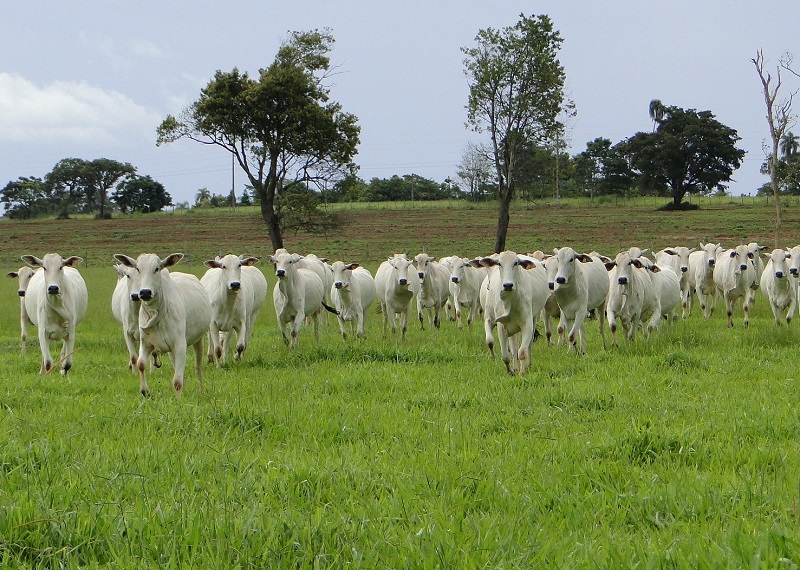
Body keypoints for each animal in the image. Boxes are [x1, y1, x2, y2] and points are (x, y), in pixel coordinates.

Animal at [115, 253, 212, 394]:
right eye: (138, 269)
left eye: (156, 269)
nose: (145, 292)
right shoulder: (145, 343)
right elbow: (141, 363)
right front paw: (145, 391)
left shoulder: (180, 344)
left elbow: (177, 381)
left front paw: (178, 397)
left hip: (198, 340)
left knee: (198, 366)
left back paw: (201, 389)